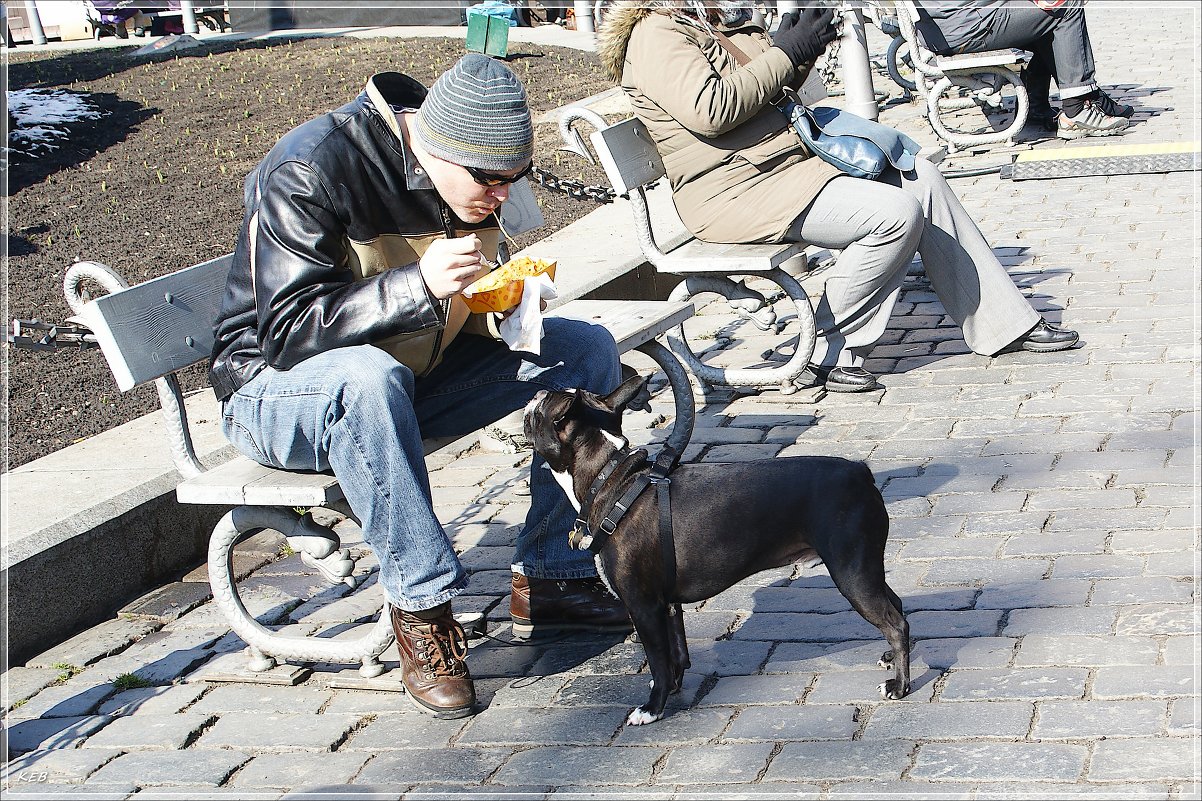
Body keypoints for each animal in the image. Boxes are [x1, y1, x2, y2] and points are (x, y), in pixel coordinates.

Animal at [521, 375, 903, 721]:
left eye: (542, 408)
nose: (534, 393)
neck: (608, 478)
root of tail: (861, 472)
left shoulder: (643, 607)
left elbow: (657, 659)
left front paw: (652, 708)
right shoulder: (667, 605)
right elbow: (676, 652)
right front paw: (673, 688)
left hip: (851, 573)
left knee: (895, 623)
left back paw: (899, 686)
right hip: (864, 567)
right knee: (895, 605)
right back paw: (889, 658)